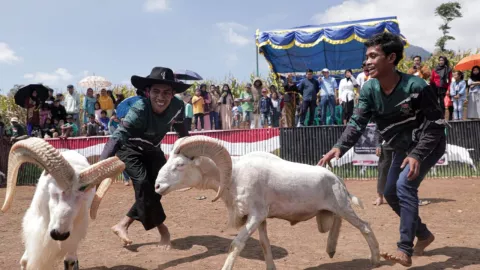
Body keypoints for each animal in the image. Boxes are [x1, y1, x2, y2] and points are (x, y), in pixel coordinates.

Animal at [1, 138, 125, 268]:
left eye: (83, 198)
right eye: (53, 192)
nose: (59, 234)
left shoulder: (73, 237)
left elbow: (70, 261)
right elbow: (25, 261)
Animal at [154, 136, 378, 270]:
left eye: (180, 164)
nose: (157, 186)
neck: (234, 177)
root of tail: (337, 179)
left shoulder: (255, 215)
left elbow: (236, 245)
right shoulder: (260, 219)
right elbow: (265, 244)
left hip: (343, 206)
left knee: (366, 227)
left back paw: (374, 259)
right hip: (333, 209)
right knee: (339, 223)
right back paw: (331, 249)